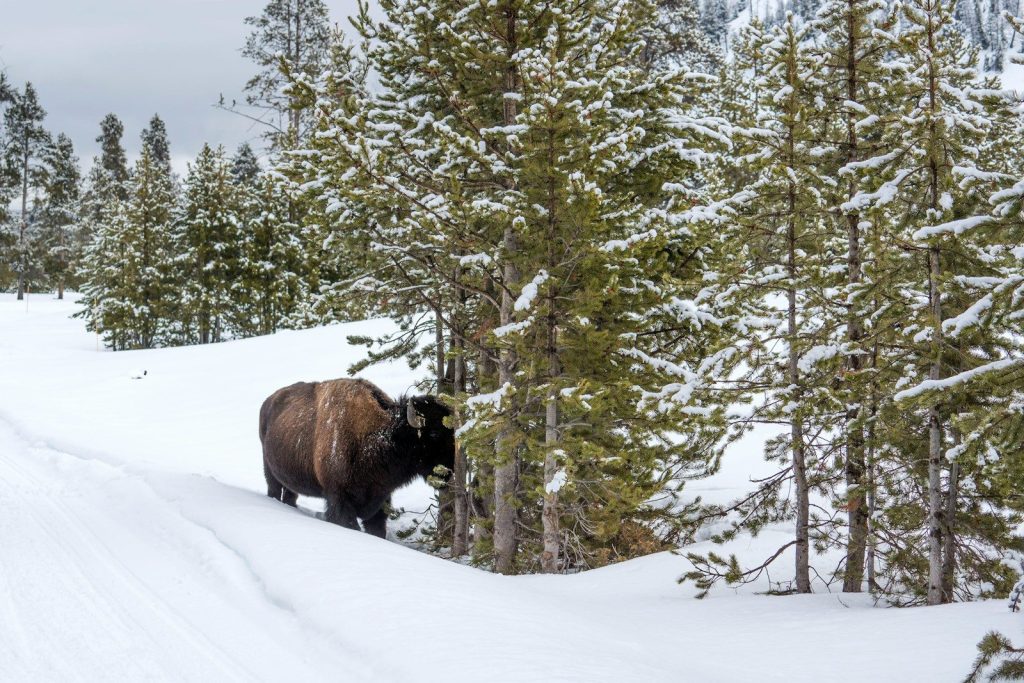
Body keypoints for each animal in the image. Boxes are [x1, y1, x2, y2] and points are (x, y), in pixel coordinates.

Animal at [259, 377, 455, 537]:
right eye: (434, 434)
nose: (450, 470)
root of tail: (268, 401)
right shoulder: (339, 497)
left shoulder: (380, 499)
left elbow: (377, 529)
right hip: (270, 472)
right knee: (274, 489)